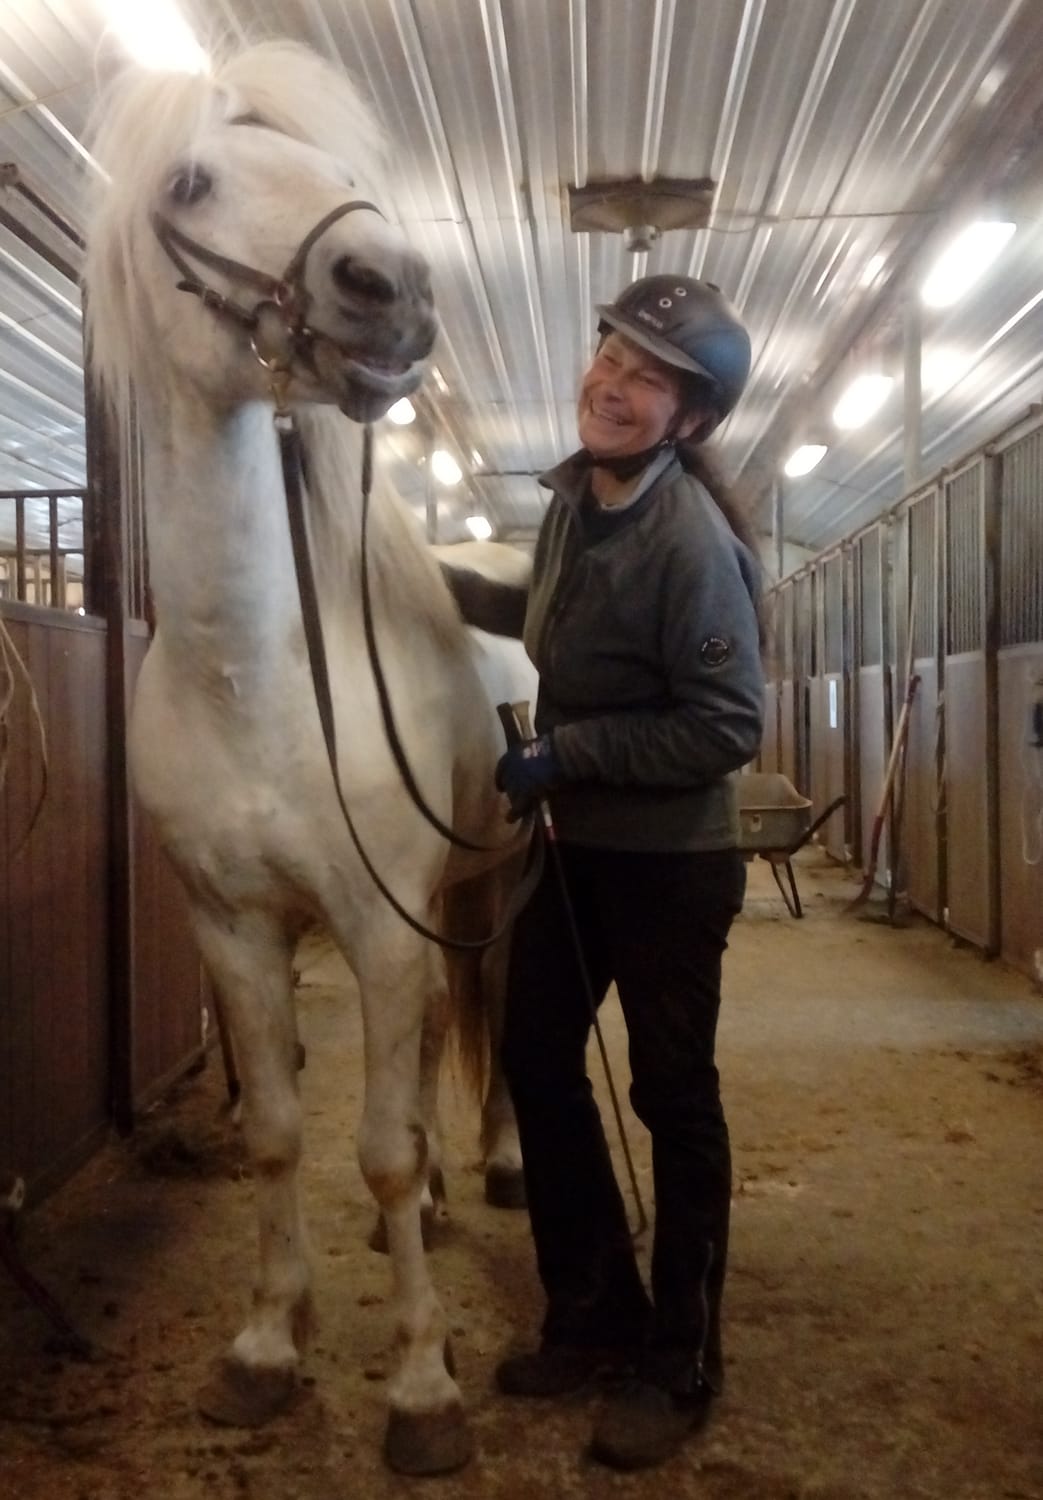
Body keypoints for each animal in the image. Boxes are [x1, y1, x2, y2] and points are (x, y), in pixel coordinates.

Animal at [84, 39, 533, 1476]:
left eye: (334, 169)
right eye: (190, 182)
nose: (392, 287)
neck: (257, 679)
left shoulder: (380, 927)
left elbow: (376, 1148)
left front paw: (422, 1386)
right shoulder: (233, 928)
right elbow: (281, 1134)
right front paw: (266, 1347)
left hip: (490, 897)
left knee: (496, 1017)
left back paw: (494, 1166)